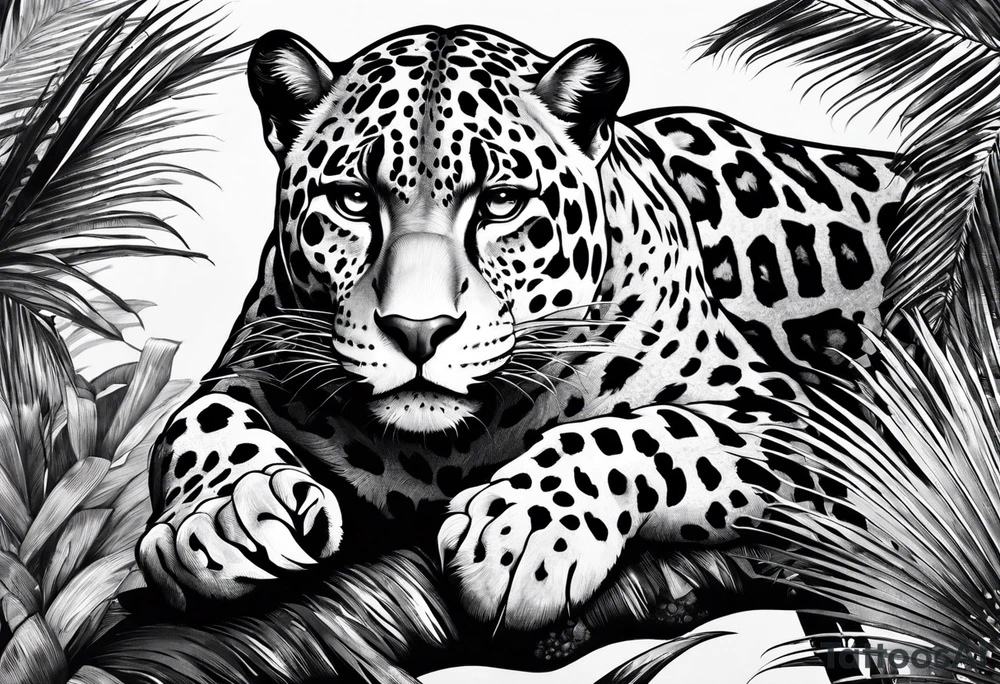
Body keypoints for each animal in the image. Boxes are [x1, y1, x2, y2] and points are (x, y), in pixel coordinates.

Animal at [137, 24, 904, 636]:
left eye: (501, 202)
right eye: (353, 200)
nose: (419, 332)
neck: (449, 453)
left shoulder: (797, 417)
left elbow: (645, 431)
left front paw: (525, 529)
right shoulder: (254, 359)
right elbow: (198, 416)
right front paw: (225, 515)